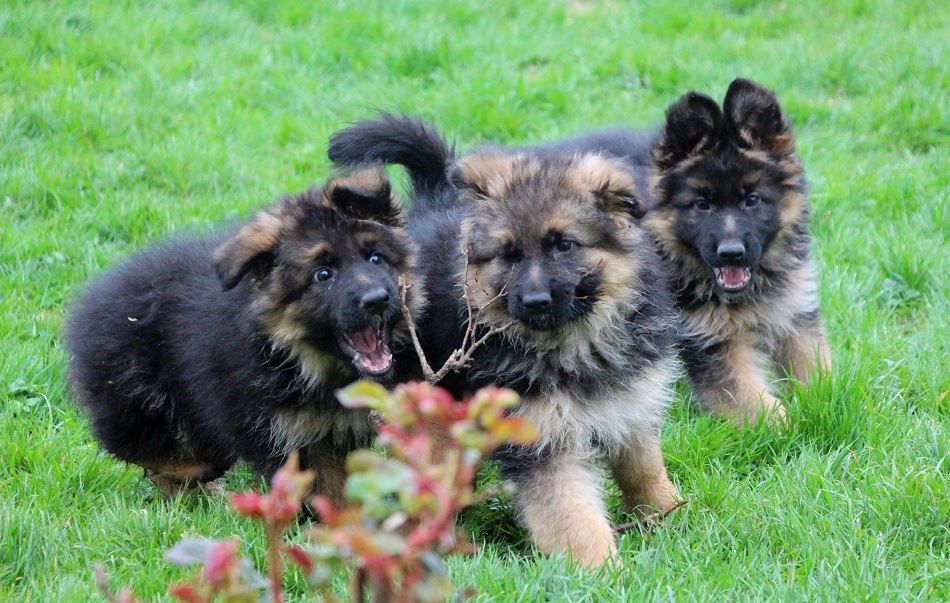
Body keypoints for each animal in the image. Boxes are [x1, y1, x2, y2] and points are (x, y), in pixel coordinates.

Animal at [65, 166, 422, 500]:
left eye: (375, 258)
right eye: (323, 275)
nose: (377, 300)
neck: (297, 356)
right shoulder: (283, 433)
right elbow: (323, 489)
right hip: (137, 397)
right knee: (149, 451)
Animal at [330, 115, 680, 568]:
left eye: (564, 245)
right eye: (509, 255)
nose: (534, 301)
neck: (575, 343)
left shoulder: (630, 403)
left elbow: (644, 468)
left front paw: (668, 515)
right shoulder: (541, 441)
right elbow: (573, 516)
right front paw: (603, 570)